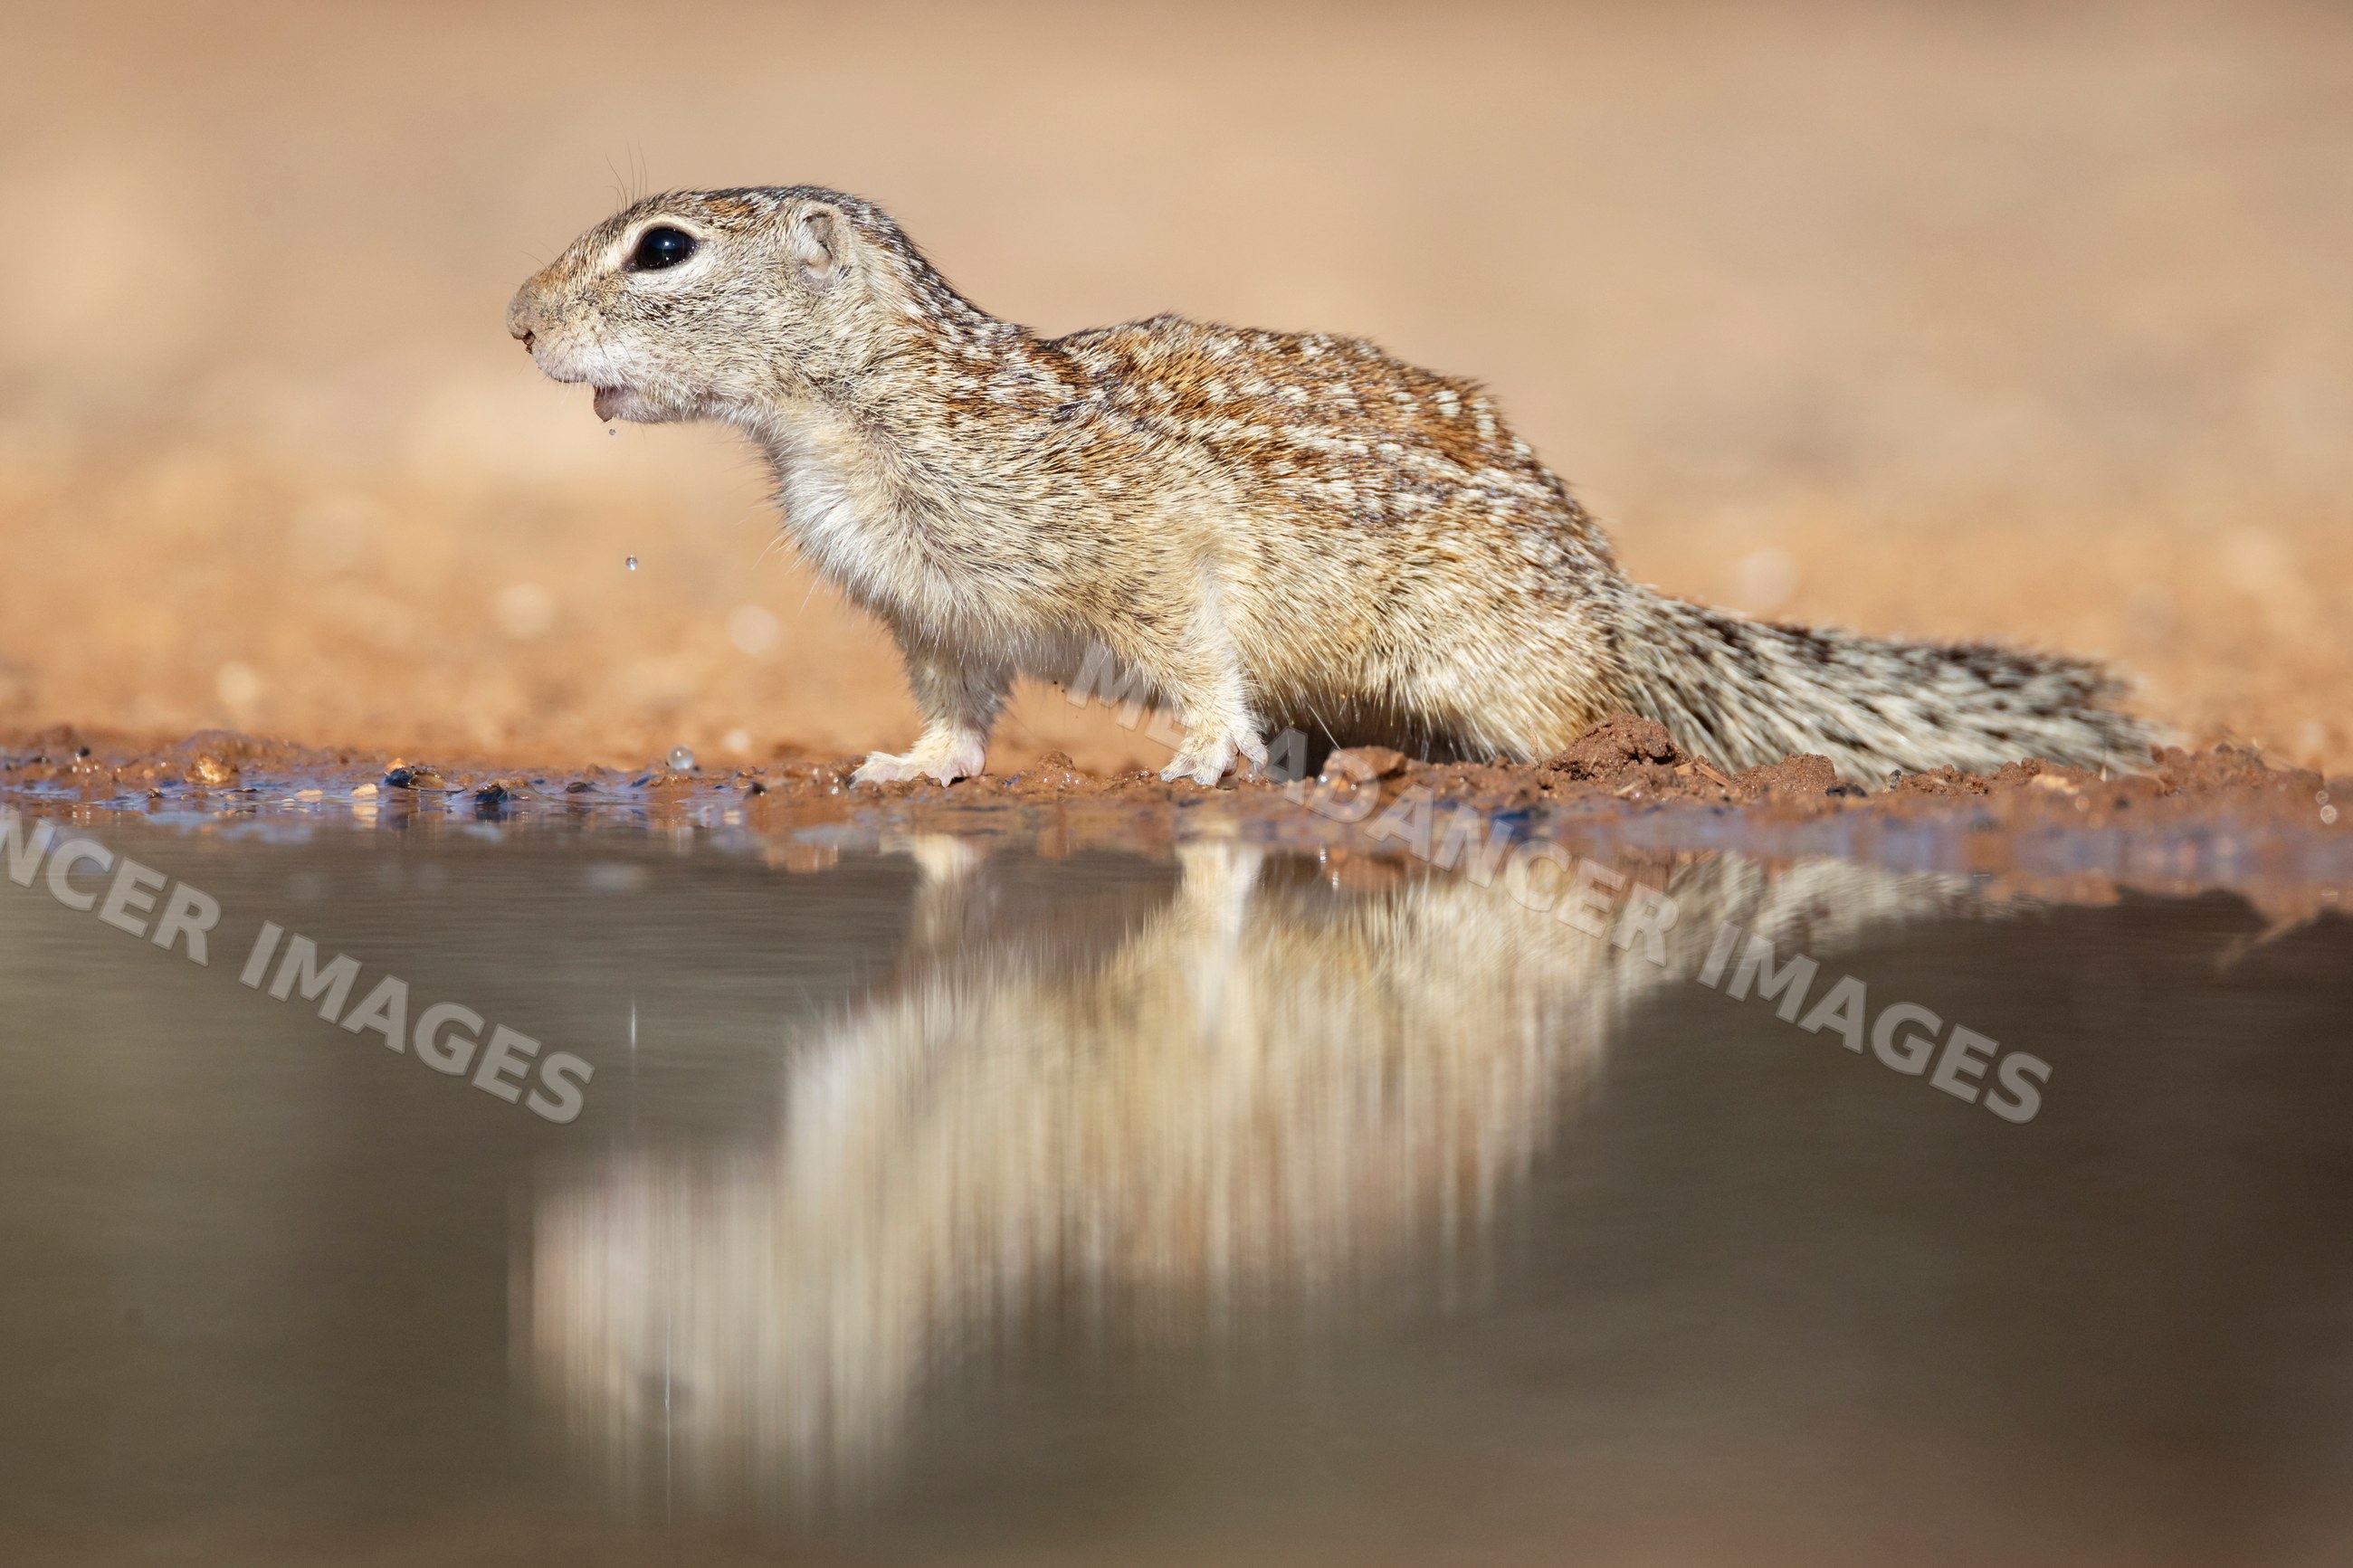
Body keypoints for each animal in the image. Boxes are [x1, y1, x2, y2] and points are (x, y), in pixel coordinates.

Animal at [509, 185, 2158, 787]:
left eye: (664, 248)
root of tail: (1612, 599)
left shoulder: (1135, 547)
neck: (849, 416)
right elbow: (957, 706)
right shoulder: (937, 614)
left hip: (1486, 655)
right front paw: (918, 768)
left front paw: (1201, 749)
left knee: (1576, 722)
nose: (518, 322)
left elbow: (1193, 640)